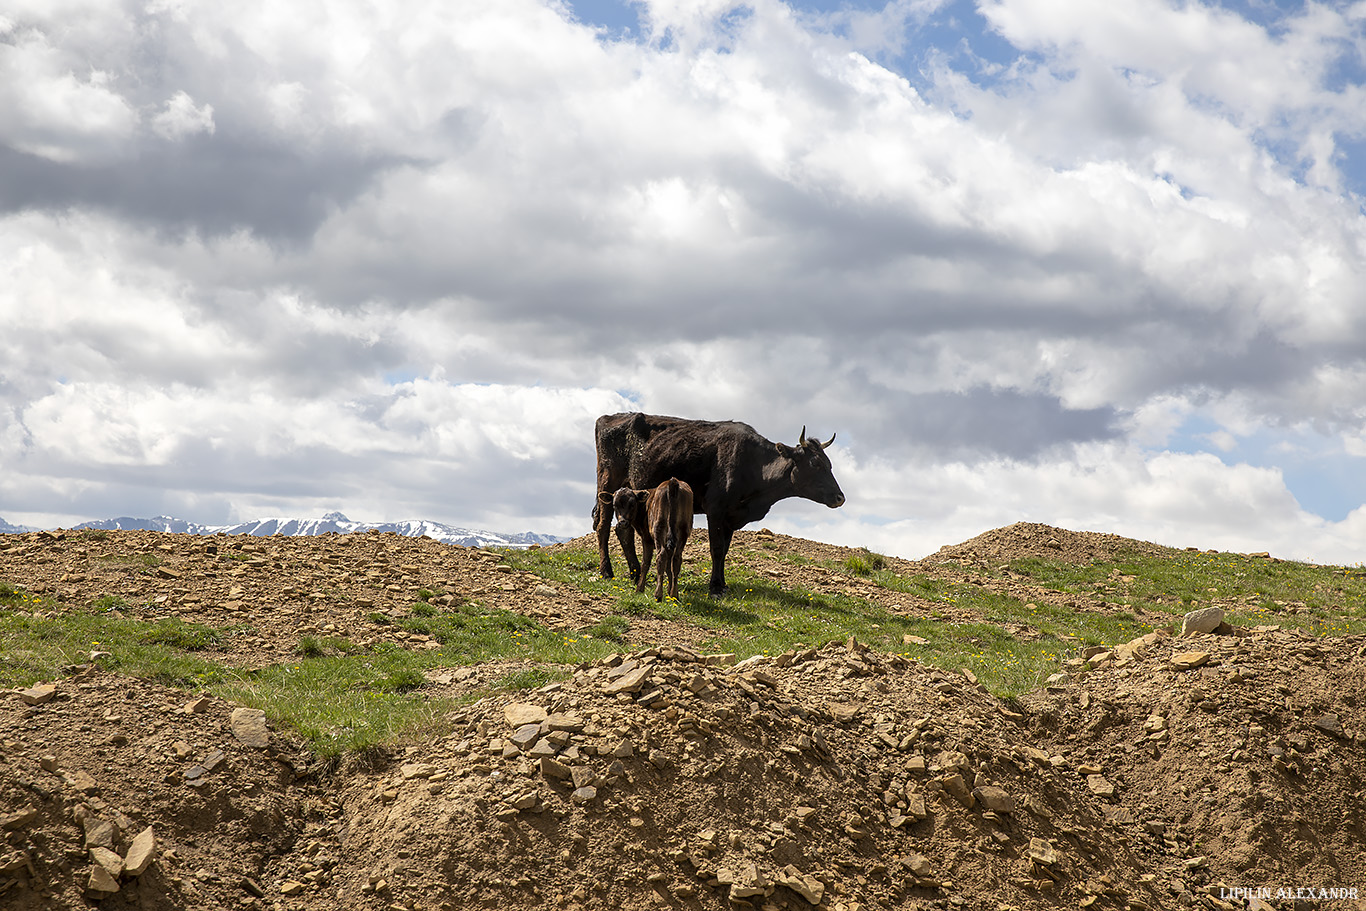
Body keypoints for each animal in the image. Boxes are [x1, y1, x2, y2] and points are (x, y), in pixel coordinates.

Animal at [595, 412, 846, 598]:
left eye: (829, 464)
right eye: (815, 465)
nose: (840, 497)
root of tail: (609, 417)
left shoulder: (731, 517)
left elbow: (724, 550)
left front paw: (722, 583)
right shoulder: (715, 509)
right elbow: (716, 549)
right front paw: (715, 586)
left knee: (623, 530)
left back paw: (635, 572)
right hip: (607, 483)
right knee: (603, 527)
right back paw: (607, 571)